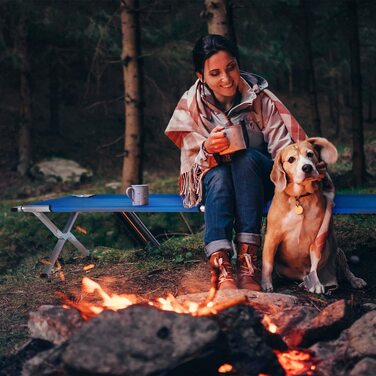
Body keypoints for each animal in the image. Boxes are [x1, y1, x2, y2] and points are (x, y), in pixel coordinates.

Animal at [262, 138, 366, 294]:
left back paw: (355, 280)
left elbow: (314, 264)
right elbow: (268, 263)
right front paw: (266, 284)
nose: (307, 167)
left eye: (310, 154)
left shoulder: (316, 238)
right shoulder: (272, 237)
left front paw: (316, 283)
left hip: (337, 250)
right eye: (291, 159)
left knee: (346, 269)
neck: (300, 198)